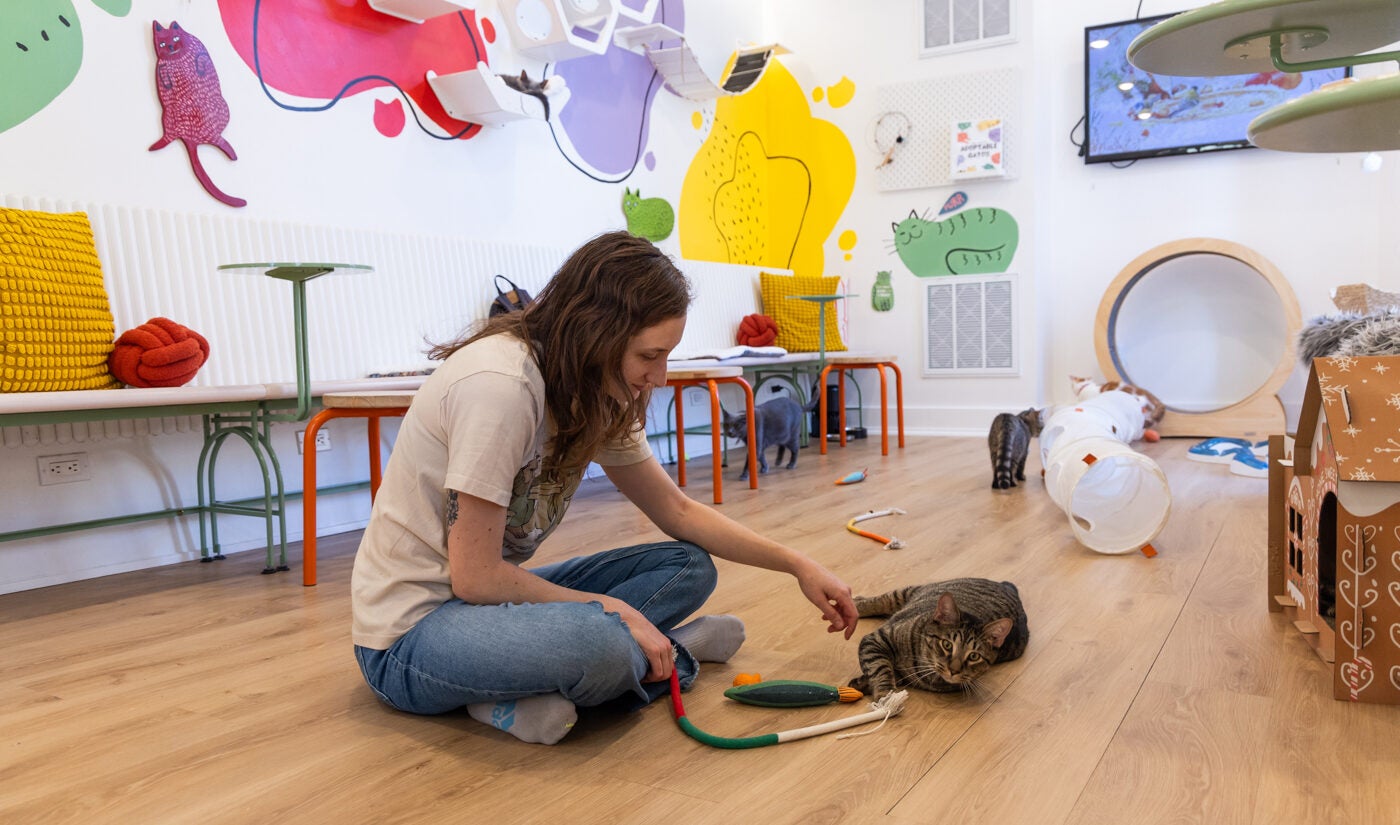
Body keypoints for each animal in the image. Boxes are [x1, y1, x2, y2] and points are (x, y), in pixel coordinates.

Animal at [840, 577, 1030, 697]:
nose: (954, 670)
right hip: (911, 592)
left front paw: (862, 684)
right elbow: (881, 668)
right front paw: (886, 695)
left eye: (974, 656)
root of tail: (1009, 588)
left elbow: (887, 669)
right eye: (947, 645)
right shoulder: (877, 638)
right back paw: (854, 605)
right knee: (882, 600)